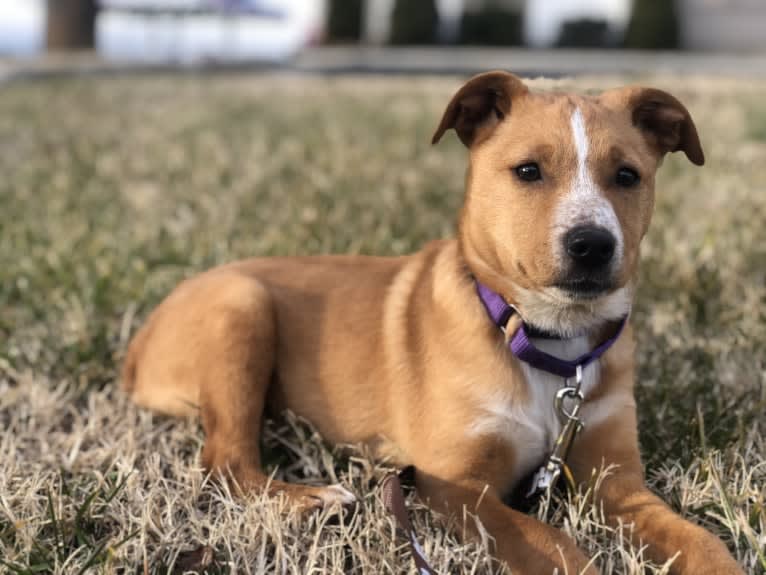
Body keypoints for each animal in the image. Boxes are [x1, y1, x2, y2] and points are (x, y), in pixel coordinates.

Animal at [124, 73, 744, 575]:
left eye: (627, 175)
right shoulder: (452, 484)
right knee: (224, 462)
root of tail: (139, 342)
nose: (592, 244)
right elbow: (549, 541)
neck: (543, 343)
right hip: (242, 306)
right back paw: (315, 500)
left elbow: (700, 541)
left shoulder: (617, 481)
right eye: (528, 171)